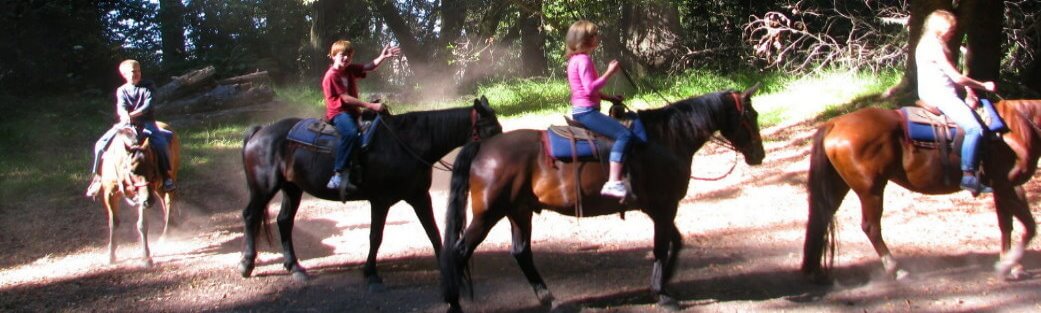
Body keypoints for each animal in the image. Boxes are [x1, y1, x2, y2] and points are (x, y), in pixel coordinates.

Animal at [97, 121, 181, 265]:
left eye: (153, 169)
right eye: (132, 170)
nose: (150, 202)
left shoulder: (144, 196)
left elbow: (142, 224)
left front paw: (146, 257)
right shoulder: (110, 194)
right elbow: (113, 223)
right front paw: (111, 255)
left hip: (168, 180)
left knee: (169, 202)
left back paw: (166, 234)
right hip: (157, 190)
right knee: (164, 202)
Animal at [243, 96, 503, 289]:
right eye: (491, 129)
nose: (503, 157)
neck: (407, 143)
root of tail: (260, 132)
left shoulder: (419, 196)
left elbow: (433, 231)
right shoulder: (380, 200)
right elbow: (375, 236)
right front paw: (371, 273)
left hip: (292, 188)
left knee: (284, 221)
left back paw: (295, 268)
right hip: (263, 188)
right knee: (250, 216)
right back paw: (247, 264)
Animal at [437, 85, 766, 311]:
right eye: (751, 115)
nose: (758, 155)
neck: (666, 140)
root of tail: (483, 147)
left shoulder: (658, 208)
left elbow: (675, 242)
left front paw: (665, 283)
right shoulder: (664, 206)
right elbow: (661, 246)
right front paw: (662, 293)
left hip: (519, 211)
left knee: (521, 253)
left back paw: (550, 299)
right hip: (488, 214)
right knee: (460, 251)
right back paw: (454, 303)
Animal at [803, 99, 1041, 280]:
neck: (1017, 128)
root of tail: (834, 123)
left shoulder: (1006, 186)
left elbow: (1006, 225)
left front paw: (1012, 265)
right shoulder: (1004, 186)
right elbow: (1029, 227)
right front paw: (1007, 265)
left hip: (838, 186)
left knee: (820, 219)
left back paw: (814, 271)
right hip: (871, 190)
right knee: (871, 227)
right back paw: (896, 270)